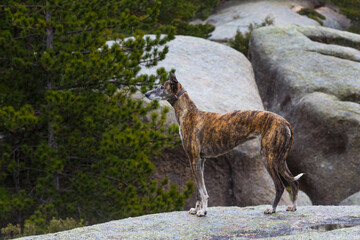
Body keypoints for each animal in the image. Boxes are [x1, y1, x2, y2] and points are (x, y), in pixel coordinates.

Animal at [145, 73, 302, 216]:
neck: (189, 113)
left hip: (267, 157)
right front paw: (196, 209)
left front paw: (203, 211)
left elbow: (202, 190)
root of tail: (284, 121)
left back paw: (272, 209)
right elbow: (199, 190)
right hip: (280, 159)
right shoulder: (200, 161)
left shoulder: (194, 159)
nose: (146, 94)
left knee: (280, 185)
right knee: (294, 183)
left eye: (161, 86)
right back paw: (293, 207)